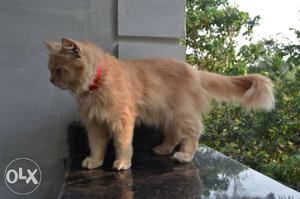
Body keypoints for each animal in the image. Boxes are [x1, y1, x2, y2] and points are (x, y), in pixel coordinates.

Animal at [44, 37, 274, 171]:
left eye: (59, 70)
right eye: (50, 69)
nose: (51, 81)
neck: (97, 83)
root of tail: (194, 71)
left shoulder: (122, 119)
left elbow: (122, 145)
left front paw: (123, 163)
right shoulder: (94, 124)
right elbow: (96, 145)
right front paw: (95, 161)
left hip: (182, 114)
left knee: (192, 135)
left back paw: (184, 156)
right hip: (167, 116)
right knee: (173, 136)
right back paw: (163, 149)